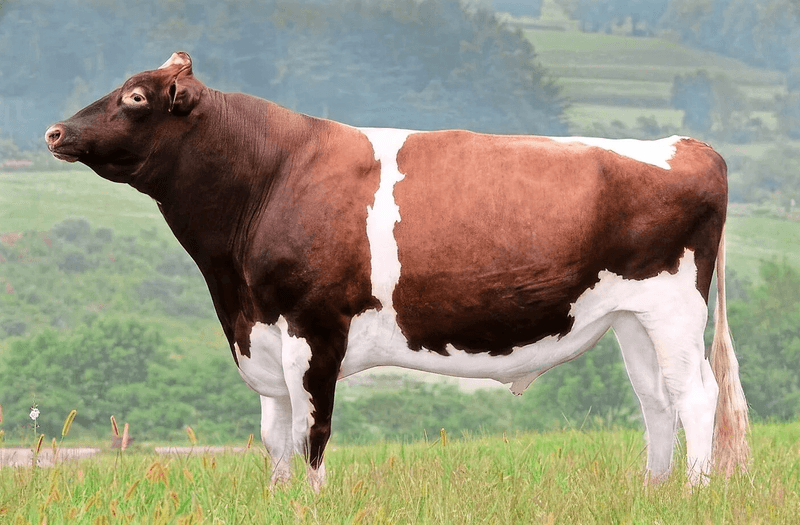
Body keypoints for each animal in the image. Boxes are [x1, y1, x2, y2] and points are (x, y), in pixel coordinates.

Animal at [45, 52, 749, 489]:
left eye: (135, 97)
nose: (54, 132)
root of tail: (687, 145)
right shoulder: (263, 329)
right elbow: (274, 435)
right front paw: (277, 498)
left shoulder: (315, 327)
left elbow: (311, 432)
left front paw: (308, 502)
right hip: (630, 316)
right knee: (656, 402)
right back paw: (654, 490)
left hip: (673, 308)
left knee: (695, 396)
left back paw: (691, 493)